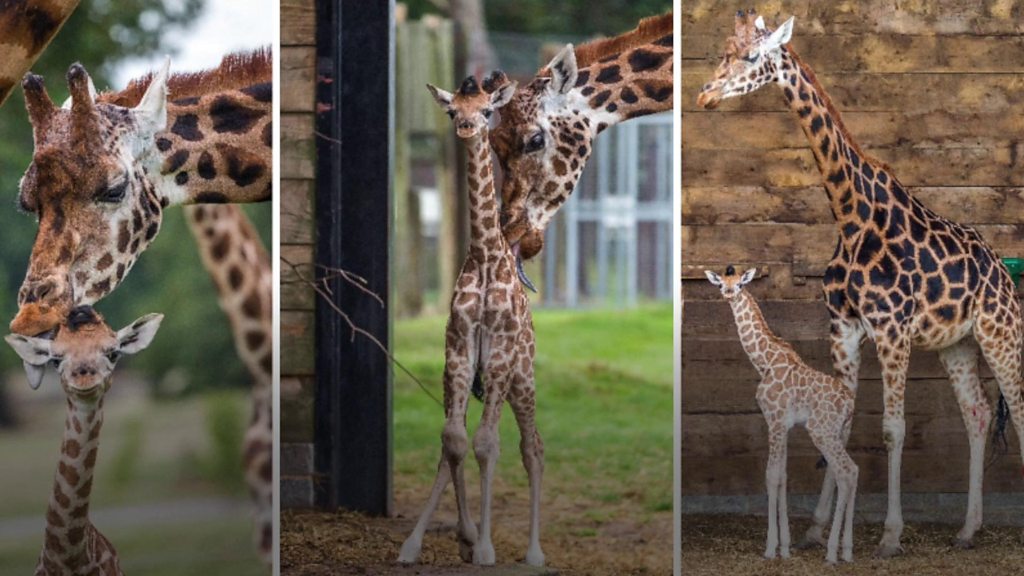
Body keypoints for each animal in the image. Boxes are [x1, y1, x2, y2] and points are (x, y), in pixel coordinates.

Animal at [399, 72, 547, 567]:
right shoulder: (459, 350)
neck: (484, 255)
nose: (466, 127)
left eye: (486, 111)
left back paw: (534, 553)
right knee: (459, 443)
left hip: (522, 378)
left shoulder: (497, 354)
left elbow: (487, 444)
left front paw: (485, 547)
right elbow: (454, 442)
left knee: (532, 447)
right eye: (451, 110)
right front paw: (427, 542)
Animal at [707, 266, 858, 564]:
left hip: (821, 431)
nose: (728, 293)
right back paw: (846, 550)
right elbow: (784, 476)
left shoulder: (774, 419)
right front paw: (785, 547)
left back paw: (832, 552)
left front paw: (770, 548)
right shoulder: (785, 425)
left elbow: (771, 476)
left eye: (739, 284)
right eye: (721, 284)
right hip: (838, 431)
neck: (763, 362)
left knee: (846, 472)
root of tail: (849, 404)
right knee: (852, 471)